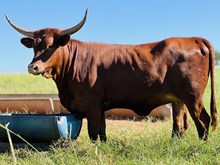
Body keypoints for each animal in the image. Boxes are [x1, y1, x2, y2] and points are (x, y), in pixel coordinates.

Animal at [6, 10, 217, 142]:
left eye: (51, 45)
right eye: (34, 46)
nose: (33, 67)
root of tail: (193, 39)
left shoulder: (92, 105)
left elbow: (93, 133)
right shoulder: (100, 107)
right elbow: (102, 133)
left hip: (193, 97)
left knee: (203, 121)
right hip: (178, 100)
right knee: (179, 126)